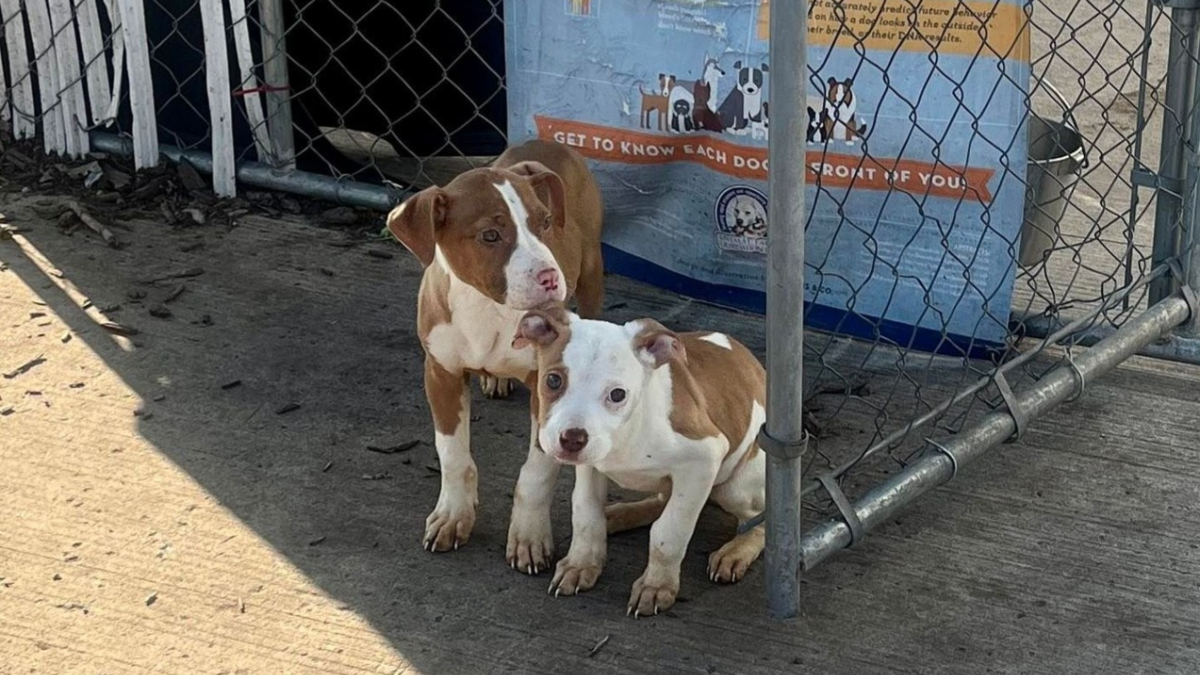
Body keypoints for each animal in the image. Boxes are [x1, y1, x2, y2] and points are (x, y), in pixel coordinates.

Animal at [388, 140, 604, 566]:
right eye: (490, 235)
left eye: (545, 222)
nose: (550, 277)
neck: (486, 307)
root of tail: (545, 143)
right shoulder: (440, 373)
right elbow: (452, 453)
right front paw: (453, 514)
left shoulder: (545, 385)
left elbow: (538, 470)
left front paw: (529, 536)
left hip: (591, 271)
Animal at [511, 305, 763, 614]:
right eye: (553, 380)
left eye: (618, 394)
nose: (572, 439)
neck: (627, 434)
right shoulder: (591, 465)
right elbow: (585, 513)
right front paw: (581, 565)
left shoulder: (703, 459)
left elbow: (669, 532)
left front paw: (657, 586)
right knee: (659, 502)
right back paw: (618, 515)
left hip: (736, 487)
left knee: (760, 522)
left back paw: (735, 551)